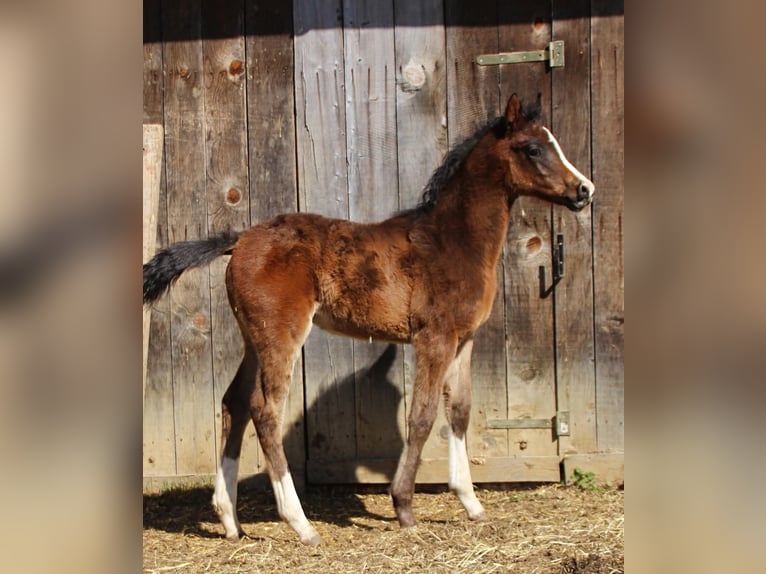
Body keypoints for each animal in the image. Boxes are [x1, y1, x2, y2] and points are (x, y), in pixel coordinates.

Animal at [143, 93, 594, 545]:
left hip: (253, 338)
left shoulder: (463, 340)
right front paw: (405, 508)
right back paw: (301, 524)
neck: (453, 240)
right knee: (265, 411)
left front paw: (471, 503)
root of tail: (240, 240)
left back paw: (229, 519)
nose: (584, 190)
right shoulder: (434, 338)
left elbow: (460, 412)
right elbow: (422, 415)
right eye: (532, 148)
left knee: (233, 402)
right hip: (281, 336)